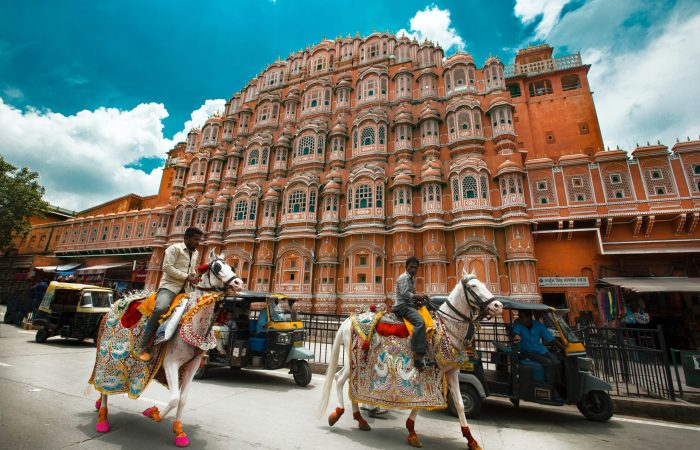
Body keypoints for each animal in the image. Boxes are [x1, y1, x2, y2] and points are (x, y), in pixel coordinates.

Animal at [90, 248, 245, 448]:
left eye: (232, 267)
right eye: (217, 267)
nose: (238, 282)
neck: (194, 324)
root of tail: (117, 302)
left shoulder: (193, 364)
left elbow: (183, 399)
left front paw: (179, 432)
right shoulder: (170, 362)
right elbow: (174, 399)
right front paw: (154, 413)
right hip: (105, 353)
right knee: (103, 386)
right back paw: (102, 419)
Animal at [318, 270, 504, 450]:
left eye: (483, 284)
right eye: (473, 286)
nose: (498, 305)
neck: (447, 327)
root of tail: (348, 320)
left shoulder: (450, 371)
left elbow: (459, 403)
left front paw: (471, 439)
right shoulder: (430, 369)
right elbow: (422, 400)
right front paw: (412, 432)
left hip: (354, 360)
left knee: (347, 381)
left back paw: (360, 419)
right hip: (355, 358)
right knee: (340, 379)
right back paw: (338, 414)